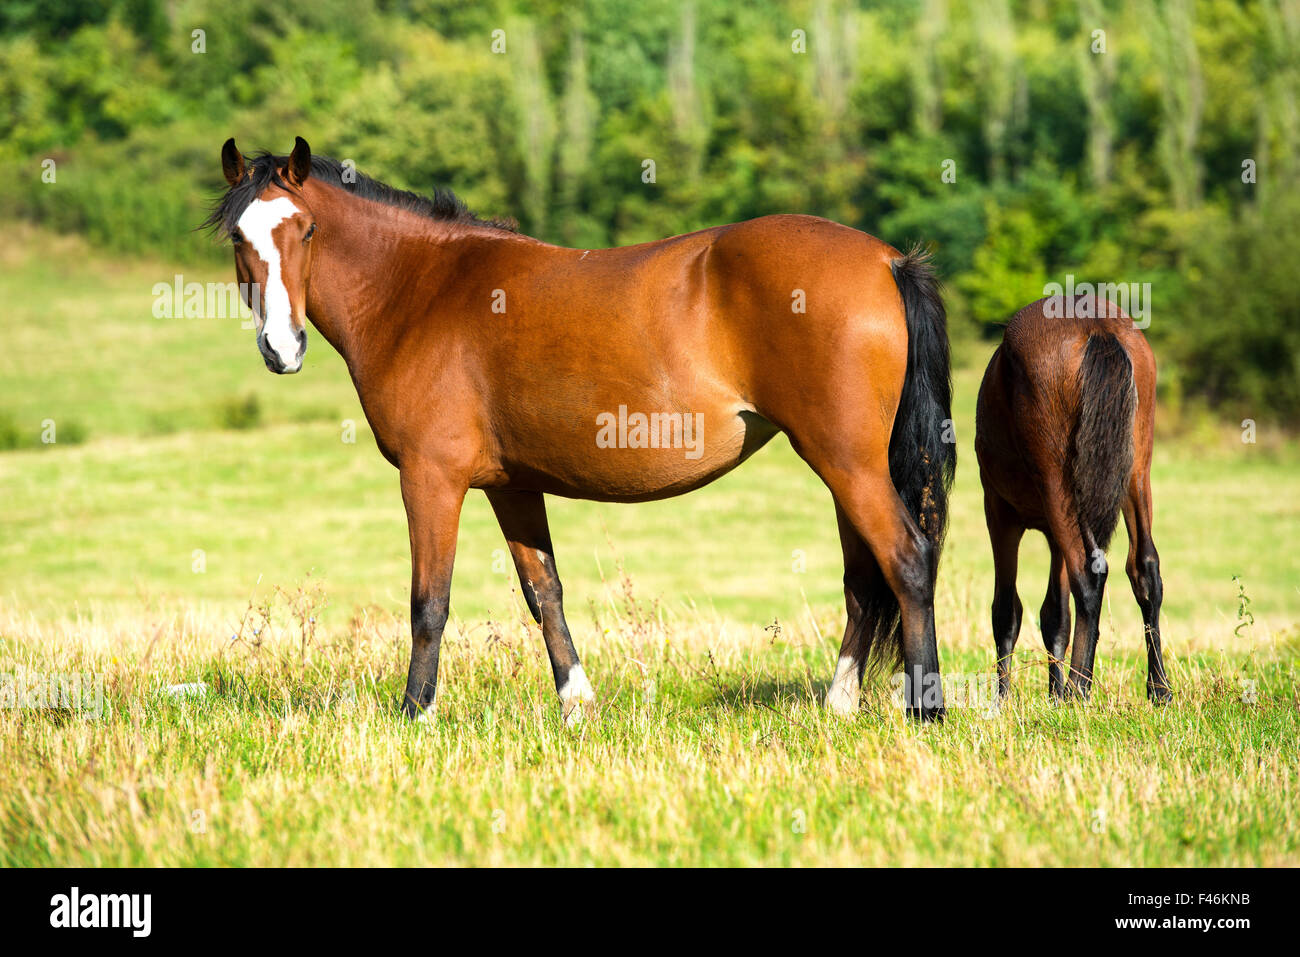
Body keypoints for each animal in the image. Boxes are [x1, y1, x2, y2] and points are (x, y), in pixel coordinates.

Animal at [202, 134, 956, 717]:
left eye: (306, 230)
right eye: (241, 237)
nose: (281, 348)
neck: (424, 291)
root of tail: (886, 259)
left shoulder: (431, 477)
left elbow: (429, 601)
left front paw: (414, 711)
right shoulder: (510, 485)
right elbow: (545, 592)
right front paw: (576, 701)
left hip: (846, 461)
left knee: (907, 559)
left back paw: (925, 709)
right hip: (849, 465)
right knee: (864, 580)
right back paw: (840, 701)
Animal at [977, 295, 1170, 707]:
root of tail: (1096, 325)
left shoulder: (999, 514)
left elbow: (1007, 610)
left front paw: (1004, 699)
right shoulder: (1054, 532)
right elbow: (1055, 615)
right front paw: (1052, 692)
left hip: (1056, 486)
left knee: (1089, 571)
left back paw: (1079, 688)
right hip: (1133, 476)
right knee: (1145, 568)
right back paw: (1158, 688)